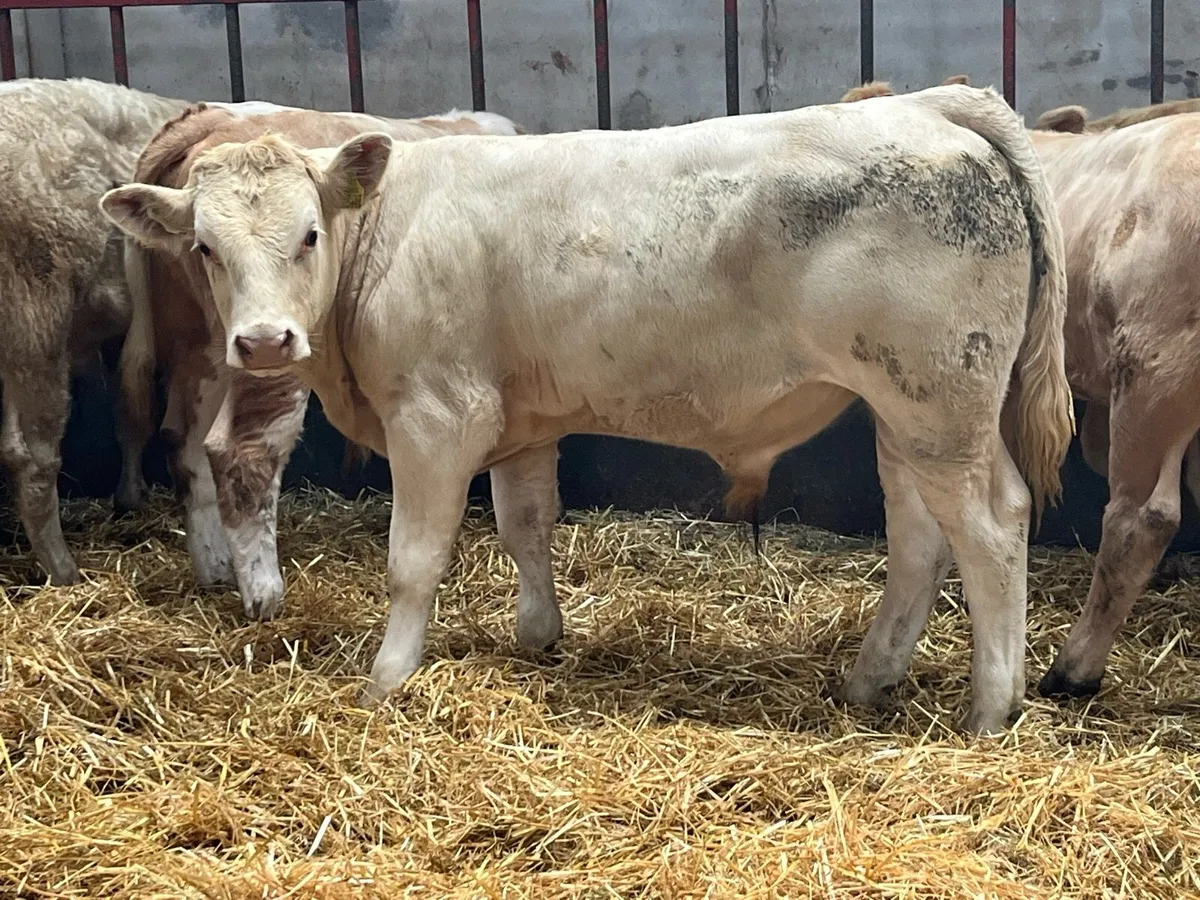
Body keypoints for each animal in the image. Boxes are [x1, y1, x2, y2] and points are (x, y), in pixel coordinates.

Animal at [113, 103, 526, 622]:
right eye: (207, 246)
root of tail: (209, 116)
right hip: (270, 356)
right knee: (239, 450)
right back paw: (262, 591)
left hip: (201, 348)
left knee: (182, 441)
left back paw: (215, 567)